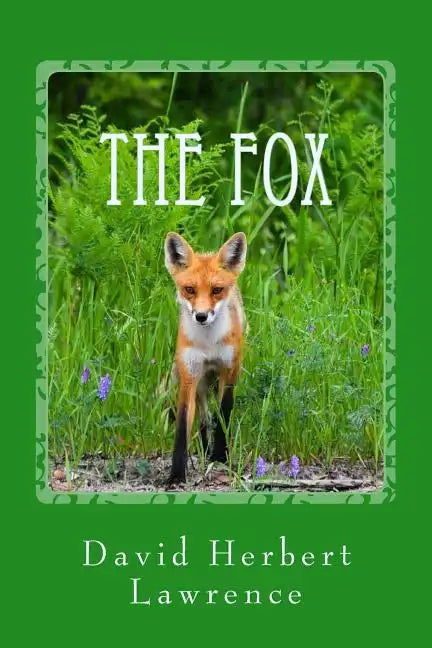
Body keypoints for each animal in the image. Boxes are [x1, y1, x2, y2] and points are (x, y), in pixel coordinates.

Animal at [164, 231, 247, 484]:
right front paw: (176, 475)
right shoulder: (189, 373)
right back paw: (203, 449)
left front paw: (220, 456)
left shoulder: (230, 370)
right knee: (202, 419)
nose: (201, 316)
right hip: (200, 382)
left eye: (217, 290)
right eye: (190, 289)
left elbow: (223, 415)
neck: (209, 344)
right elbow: (183, 426)